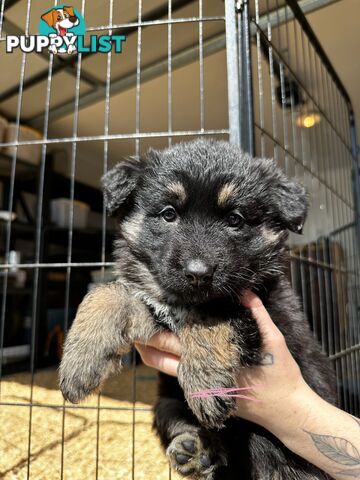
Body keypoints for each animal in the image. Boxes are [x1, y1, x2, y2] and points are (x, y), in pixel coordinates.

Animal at [59, 137, 334, 478]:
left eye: (235, 219)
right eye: (168, 214)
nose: (198, 273)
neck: (184, 301)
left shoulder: (262, 312)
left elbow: (211, 315)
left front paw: (206, 385)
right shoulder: (155, 308)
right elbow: (106, 292)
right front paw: (80, 364)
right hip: (165, 402)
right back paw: (194, 449)